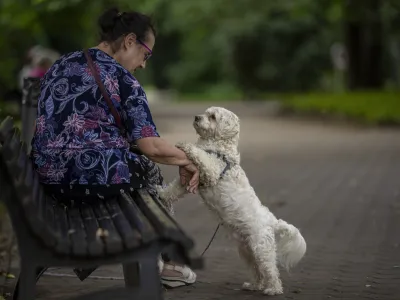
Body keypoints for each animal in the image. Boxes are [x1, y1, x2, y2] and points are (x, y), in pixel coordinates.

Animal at [156, 106, 306, 296]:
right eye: (205, 113)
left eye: (212, 117)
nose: (197, 117)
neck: (218, 147)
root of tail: (272, 221)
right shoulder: (191, 179)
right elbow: (174, 189)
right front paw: (161, 193)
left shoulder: (211, 170)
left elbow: (200, 154)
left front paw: (185, 145)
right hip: (247, 251)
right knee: (257, 270)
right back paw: (255, 285)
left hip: (261, 249)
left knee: (270, 270)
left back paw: (272, 289)